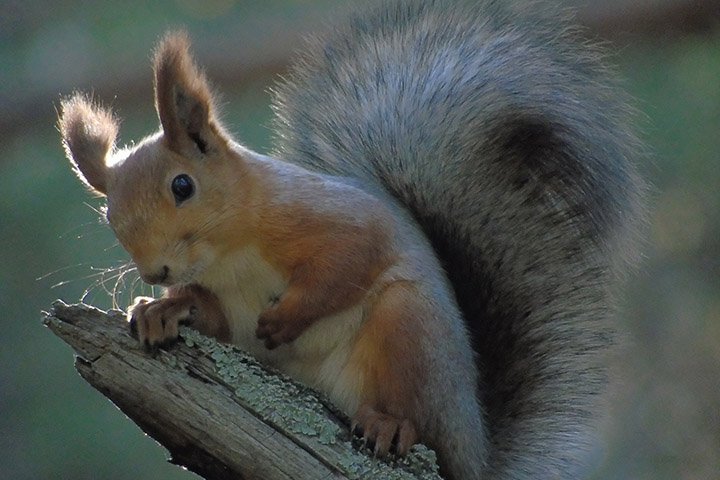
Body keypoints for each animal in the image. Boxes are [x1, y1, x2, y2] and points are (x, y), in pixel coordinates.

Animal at [57, 0, 640, 480]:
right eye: (108, 212)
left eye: (183, 185)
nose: (155, 272)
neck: (228, 257)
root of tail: (475, 446)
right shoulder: (227, 304)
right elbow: (219, 323)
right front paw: (164, 310)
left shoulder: (335, 219)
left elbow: (349, 261)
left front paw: (285, 317)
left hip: (411, 326)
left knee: (418, 416)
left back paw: (390, 423)